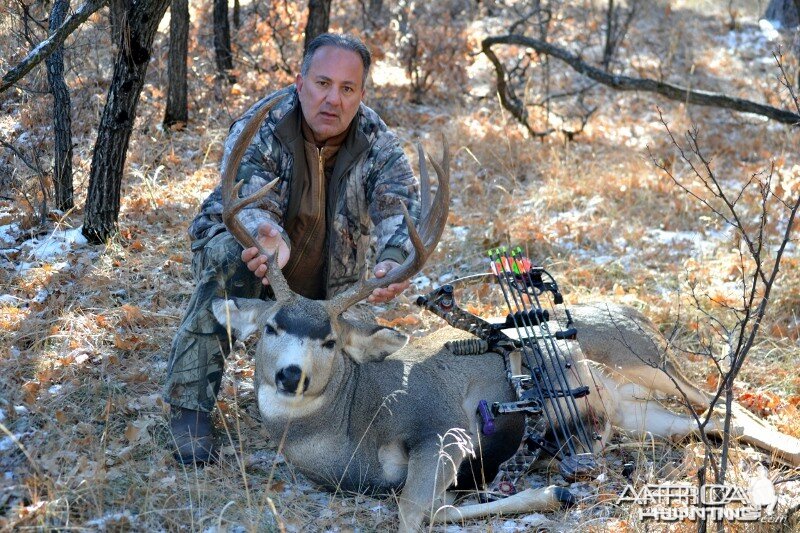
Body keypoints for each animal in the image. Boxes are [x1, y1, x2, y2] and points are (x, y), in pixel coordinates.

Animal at [212, 98, 800, 528]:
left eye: (330, 340)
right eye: (271, 326)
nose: (290, 375)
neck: (351, 425)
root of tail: (639, 315)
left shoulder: (444, 427)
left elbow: (419, 510)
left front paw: (554, 491)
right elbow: (432, 506)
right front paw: (554, 490)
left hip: (648, 359)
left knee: (735, 408)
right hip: (635, 410)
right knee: (717, 424)